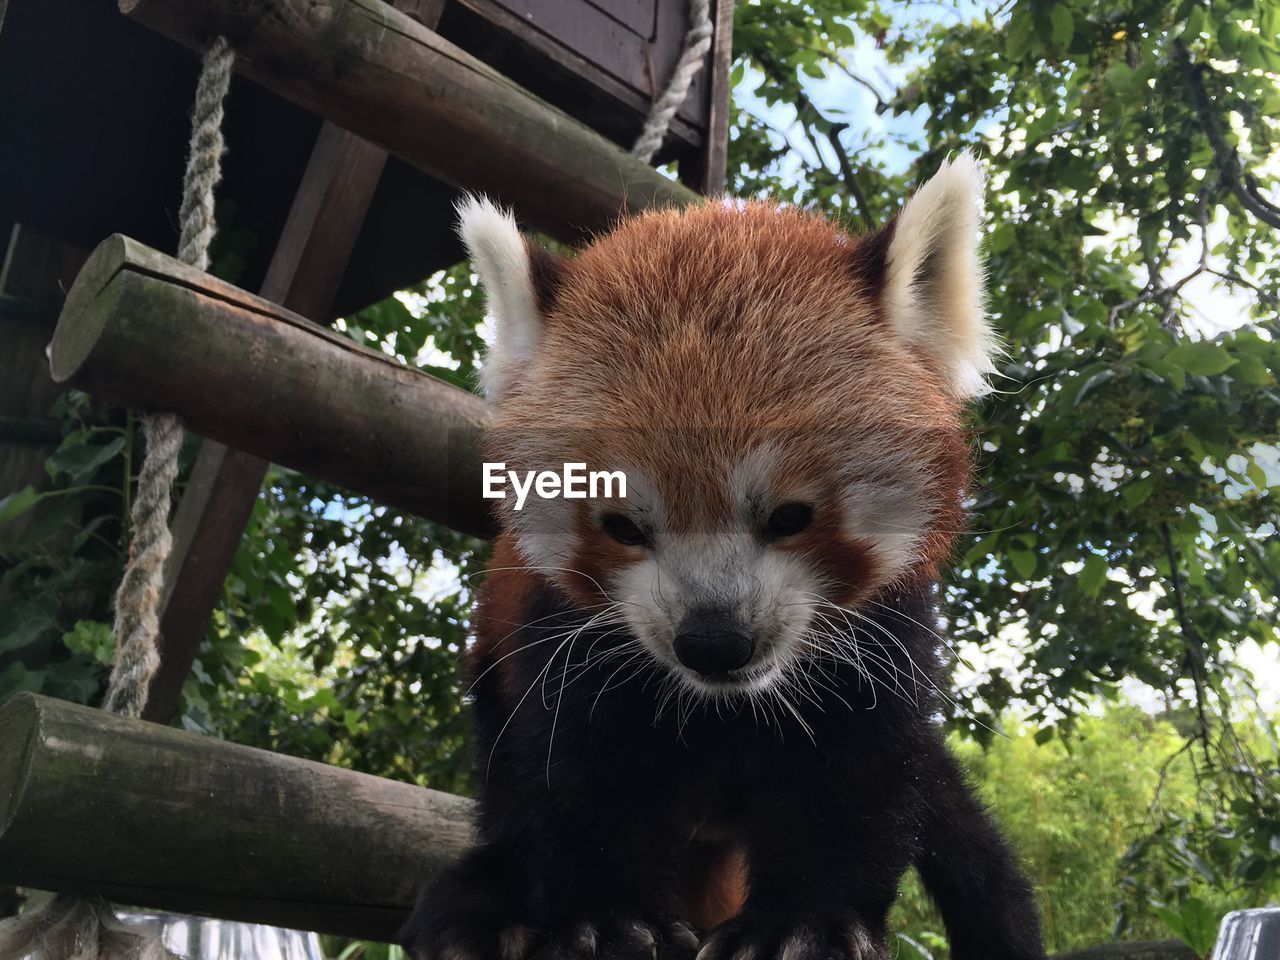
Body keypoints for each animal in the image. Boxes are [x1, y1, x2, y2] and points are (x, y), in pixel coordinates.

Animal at [401, 154, 1049, 960]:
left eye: (790, 516)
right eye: (623, 525)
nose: (714, 642)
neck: (723, 707)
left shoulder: (887, 632)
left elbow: (858, 773)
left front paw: (803, 921)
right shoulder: (559, 631)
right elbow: (576, 769)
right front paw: (606, 917)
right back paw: (487, 898)